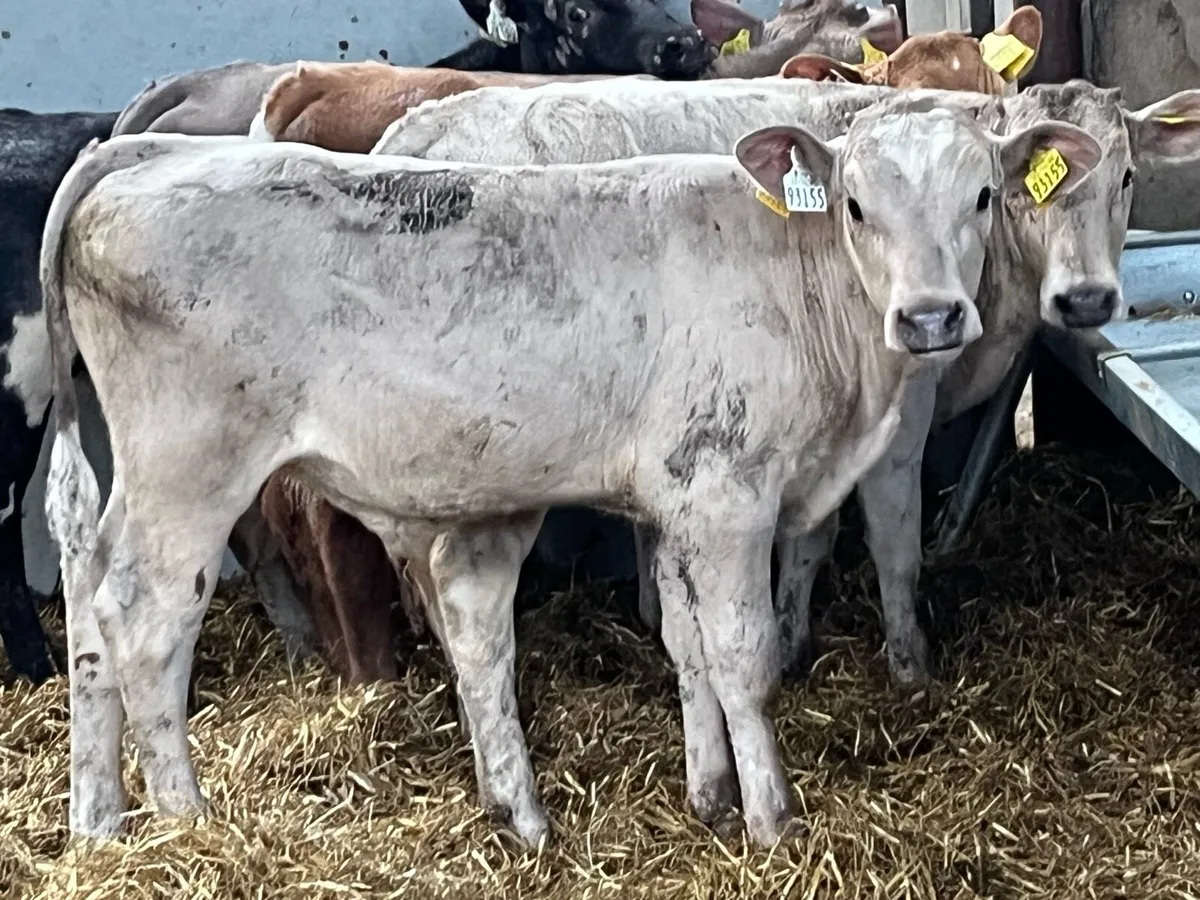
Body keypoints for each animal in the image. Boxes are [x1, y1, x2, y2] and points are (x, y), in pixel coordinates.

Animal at [39, 98, 1077, 848]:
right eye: (858, 205)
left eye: (982, 197)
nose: (931, 317)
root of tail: (149, 152)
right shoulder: (727, 496)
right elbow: (742, 657)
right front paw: (772, 819)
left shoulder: (670, 498)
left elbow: (688, 648)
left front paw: (707, 794)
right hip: (192, 470)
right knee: (146, 623)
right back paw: (188, 824)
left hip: (133, 475)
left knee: (89, 604)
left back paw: (102, 825)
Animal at [373, 75, 1200, 686]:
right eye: (1018, 194)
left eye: (1127, 177)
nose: (1086, 298)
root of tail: (419, 125)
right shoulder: (894, 418)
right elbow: (894, 542)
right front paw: (910, 668)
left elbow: (811, 535)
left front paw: (793, 632)